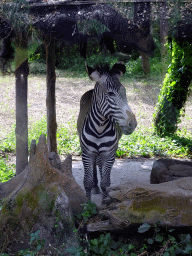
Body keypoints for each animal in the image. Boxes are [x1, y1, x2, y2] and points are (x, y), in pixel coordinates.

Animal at [77, 62, 137, 204]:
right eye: (110, 93)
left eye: (124, 92)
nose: (132, 124)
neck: (100, 128)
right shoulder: (87, 153)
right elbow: (87, 181)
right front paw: (87, 203)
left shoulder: (109, 153)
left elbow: (106, 182)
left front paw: (106, 201)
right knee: (95, 165)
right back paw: (95, 186)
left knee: (99, 164)